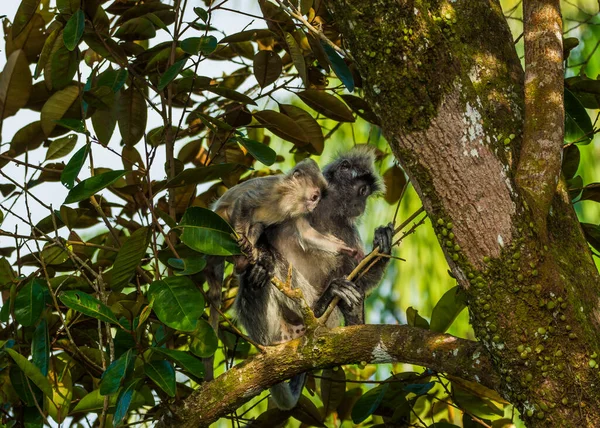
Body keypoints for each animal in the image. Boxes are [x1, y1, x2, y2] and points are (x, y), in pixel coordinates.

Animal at [234, 146, 394, 408]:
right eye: (362, 191)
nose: (362, 205)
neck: (324, 212)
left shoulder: (346, 230)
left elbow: (358, 276)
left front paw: (383, 243)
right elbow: (258, 236)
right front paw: (262, 262)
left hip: (329, 323)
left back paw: (350, 314)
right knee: (265, 275)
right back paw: (319, 302)